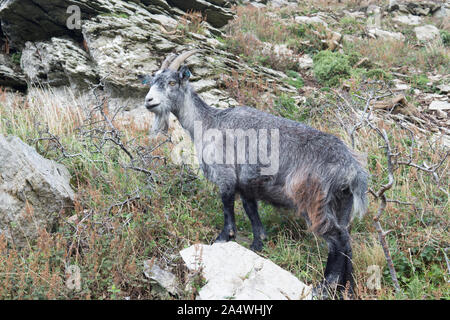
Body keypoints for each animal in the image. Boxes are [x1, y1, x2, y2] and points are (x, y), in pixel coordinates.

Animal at [143, 50, 370, 298]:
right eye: (153, 81)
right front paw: (257, 244)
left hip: (315, 203)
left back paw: (325, 285)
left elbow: (227, 207)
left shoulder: (226, 175)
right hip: (342, 205)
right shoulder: (247, 184)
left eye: (172, 82)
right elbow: (251, 211)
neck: (209, 122)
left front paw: (223, 238)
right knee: (346, 240)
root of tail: (352, 170)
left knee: (336, 240)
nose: (149, 101)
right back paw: (347, 287)